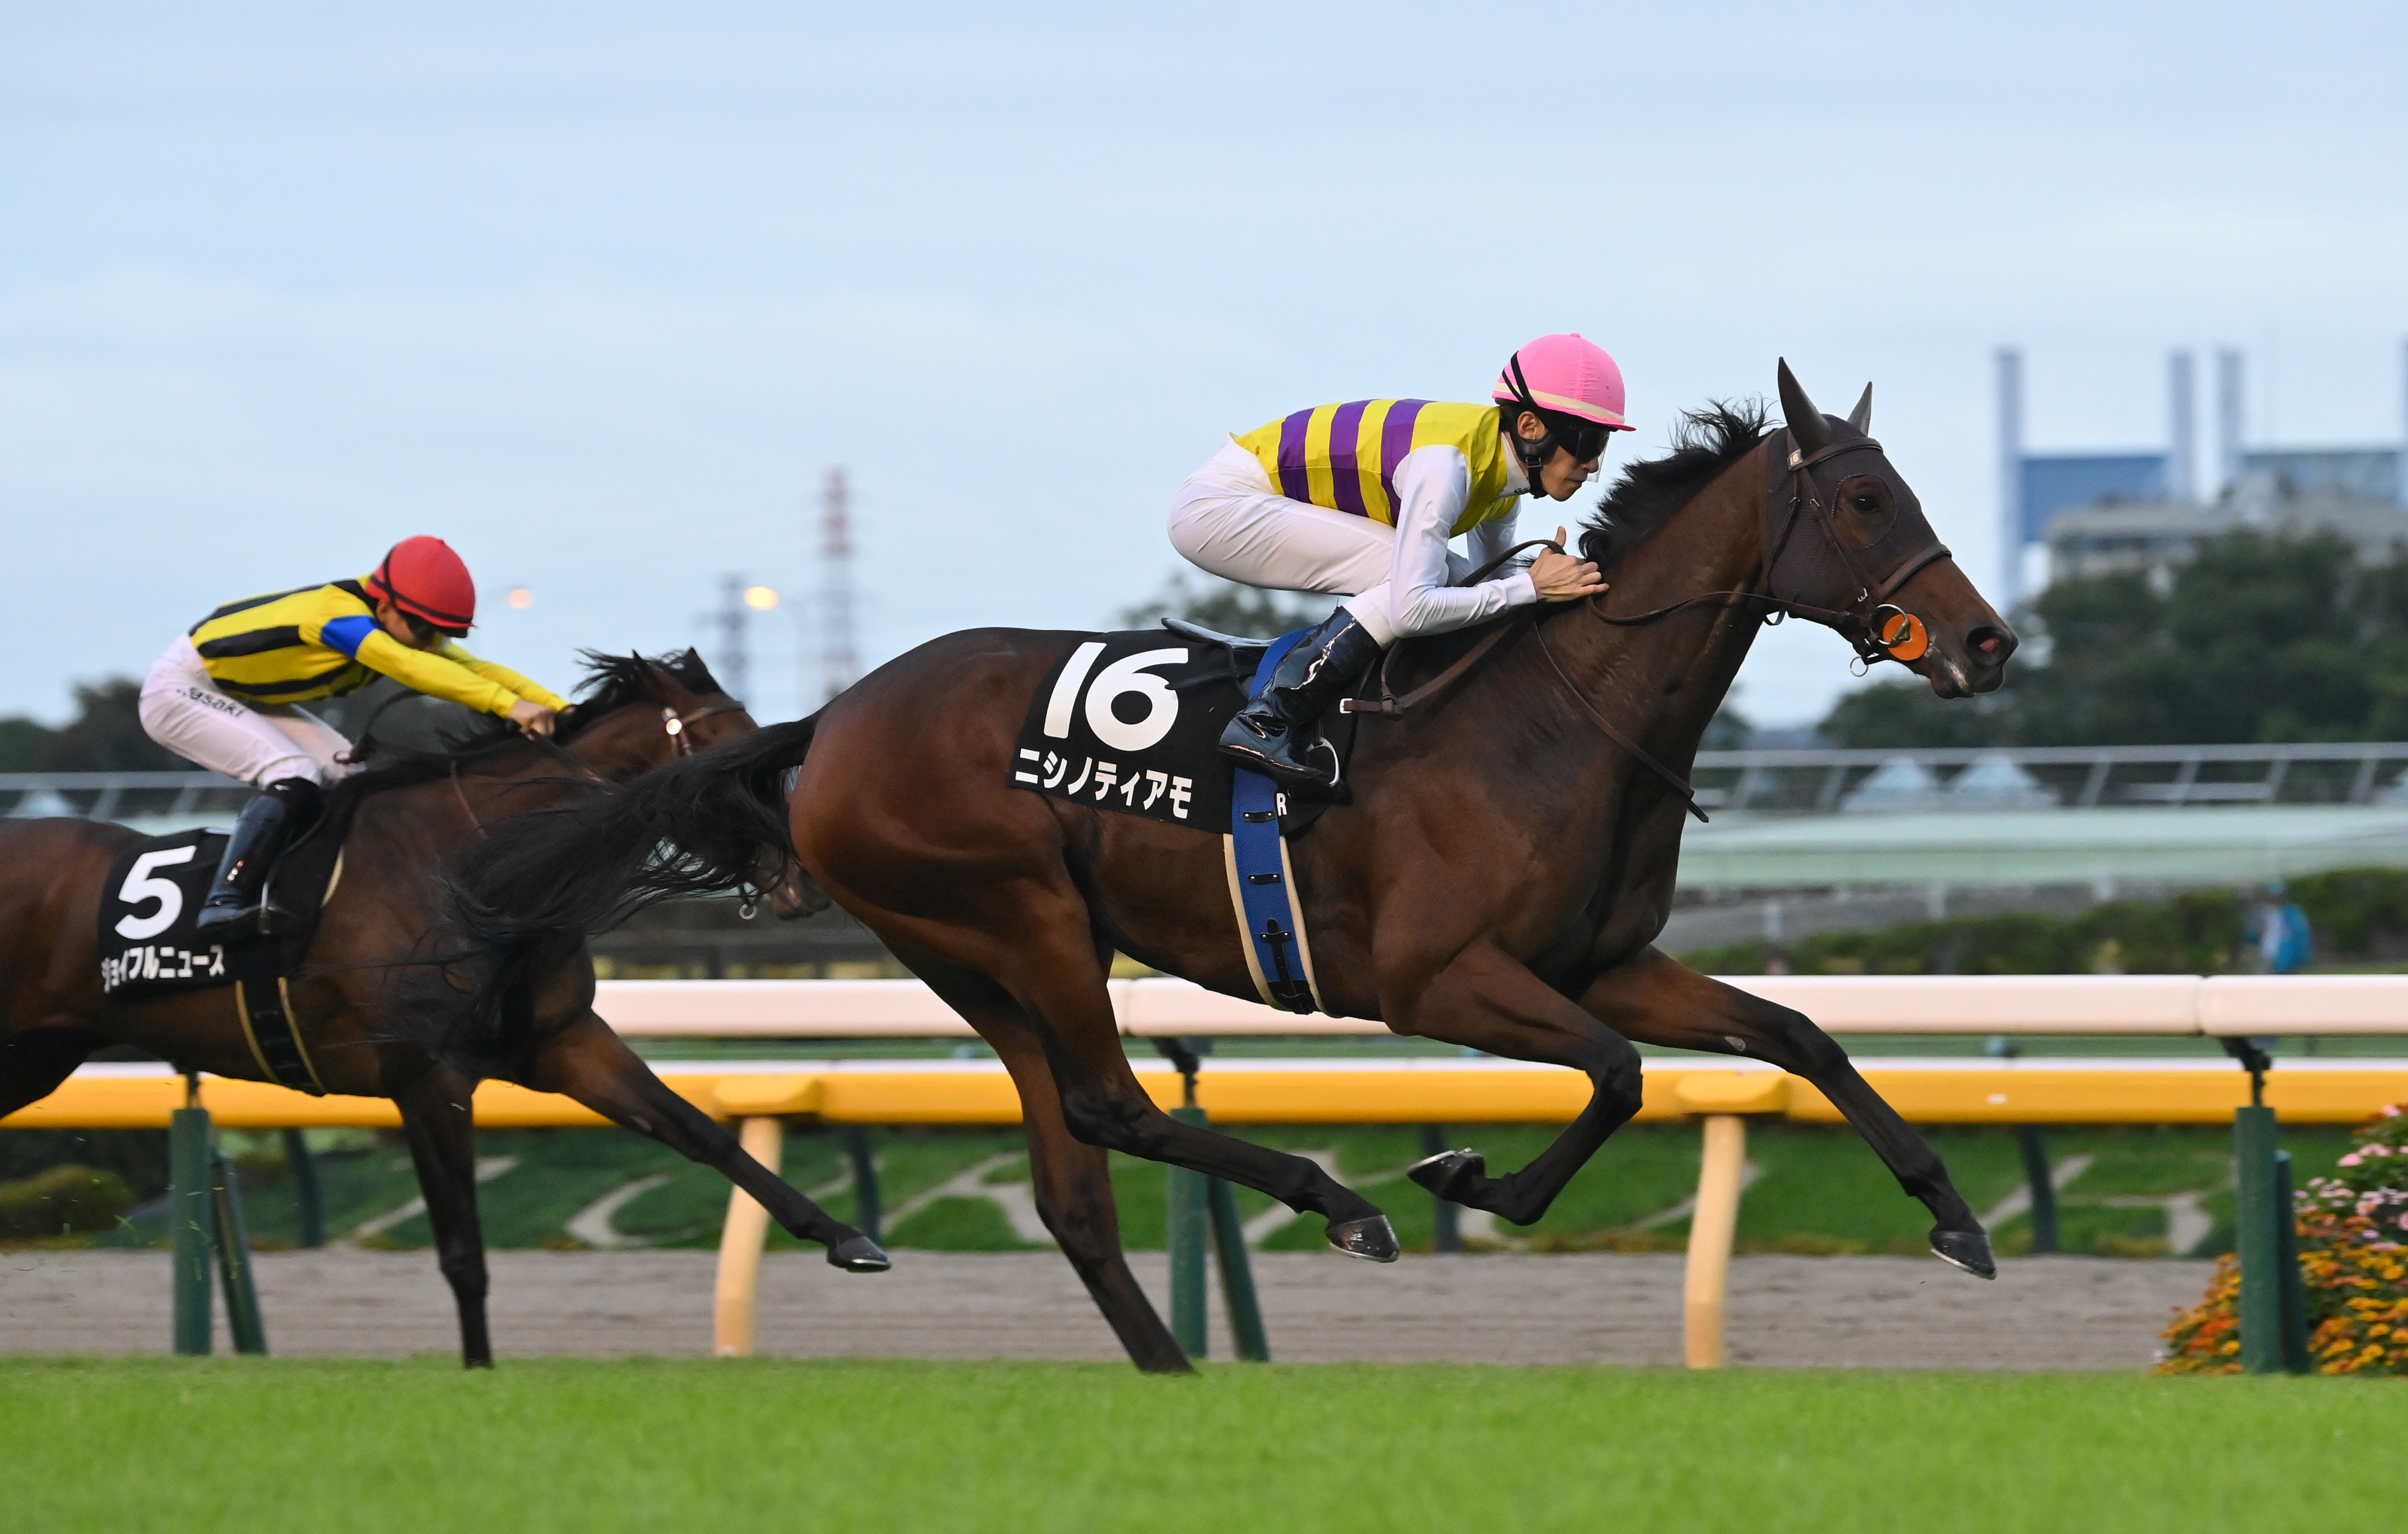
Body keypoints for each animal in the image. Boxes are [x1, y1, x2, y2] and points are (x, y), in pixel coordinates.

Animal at [0, 651, 887, 1367]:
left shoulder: (565, 1041)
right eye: (730, 758)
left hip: (39, 1057)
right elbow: (463, 1248)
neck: (475, 871)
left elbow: (704, 1133)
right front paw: (479, 1369)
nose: (806, 884)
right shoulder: (428, 1077)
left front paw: (848, 1237)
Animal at [452, 364, 2018, 1373]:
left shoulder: (1604, 960)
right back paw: (1338, 1204)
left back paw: (1175, 1367)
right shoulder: (1436, 978)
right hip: (1021, 914)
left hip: (975, 956)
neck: (1558, 716)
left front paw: (1953, 1217)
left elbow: (1796, 1034)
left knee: (1073, 1176)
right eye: (1865, 500)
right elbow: (1620, 1076)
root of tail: (830, 717)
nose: (1986, 639)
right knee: (1113, 1104)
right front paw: (1469, 1174)